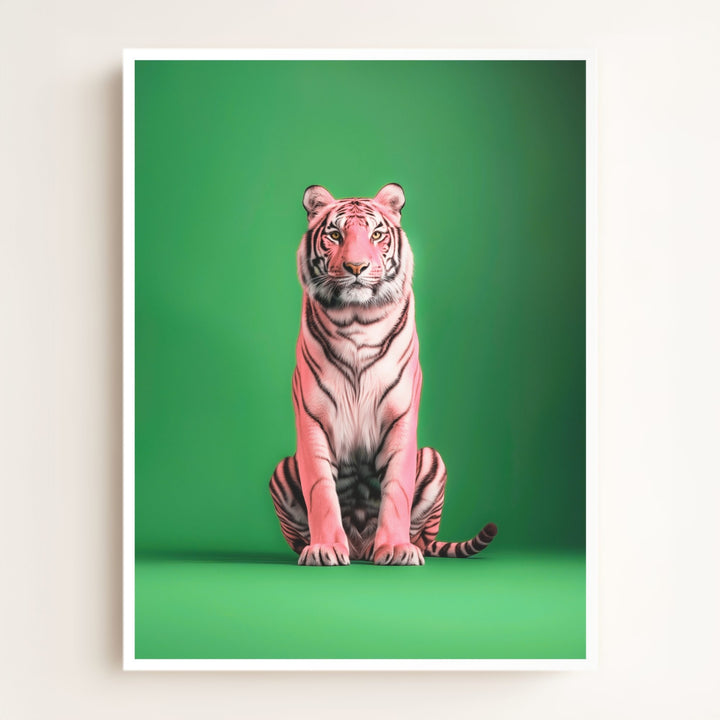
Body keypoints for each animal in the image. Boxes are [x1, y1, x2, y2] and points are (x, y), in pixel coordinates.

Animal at [269, 183, 498, 565]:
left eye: (376, 235)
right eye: (335, 235)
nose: (356, 267)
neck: (356, 320)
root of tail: (361, 548)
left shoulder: (400, 414)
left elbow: (397, 489)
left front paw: (396, 548)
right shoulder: (313, 417)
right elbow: (320, 489)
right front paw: (324, 547)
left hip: (433, 459)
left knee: (424, 537)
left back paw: (403, 545)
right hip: (283, 467)